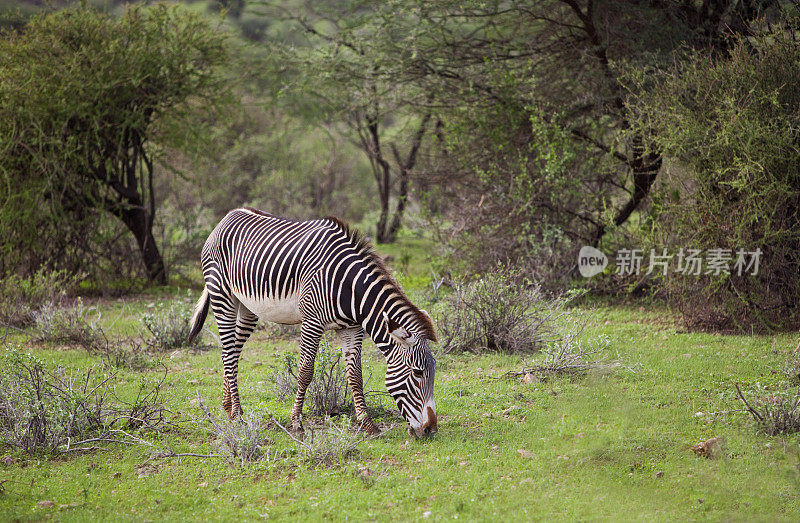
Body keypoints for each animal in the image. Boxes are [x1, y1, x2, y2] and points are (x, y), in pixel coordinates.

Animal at [188, 208, 438, 438]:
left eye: (433, 370)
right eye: (418, 373)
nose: (430, 429)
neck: (350, 289)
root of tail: (227, 216)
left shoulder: (352, 328)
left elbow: (355, 376)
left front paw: (367, 424)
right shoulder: (312, 322)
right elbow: (305, 372)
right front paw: (296, 423)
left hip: (248, 306)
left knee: (232, 350)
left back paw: (228, 407)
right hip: (222, 295)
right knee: (228, 352)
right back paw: (239, 415)